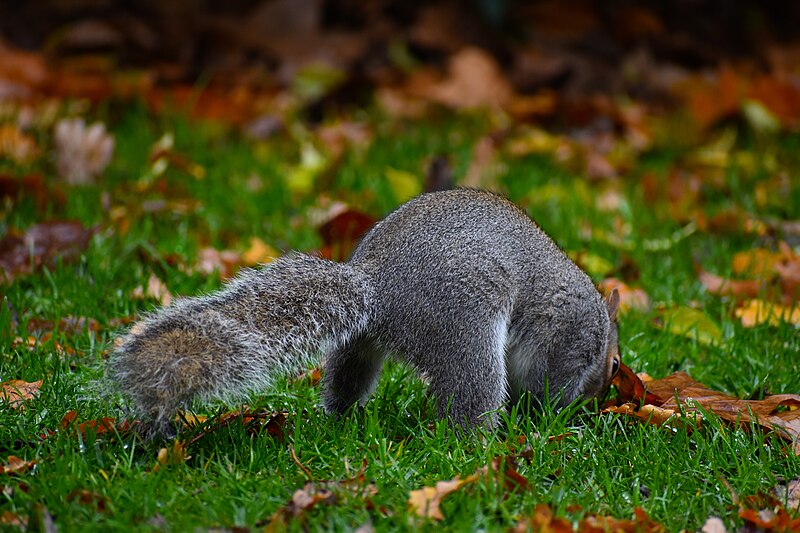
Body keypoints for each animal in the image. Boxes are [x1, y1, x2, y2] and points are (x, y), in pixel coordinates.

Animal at [109, 188, 620, 436]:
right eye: (615, 365)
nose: (600, 397)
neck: (600, 323)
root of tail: (376, 287)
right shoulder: (569, 338)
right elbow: (551, 383)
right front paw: (554, 418)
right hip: (466, 327)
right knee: (469, 400)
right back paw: (481, 447)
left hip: (359, 342)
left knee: (345, 380)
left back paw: (339, 419)